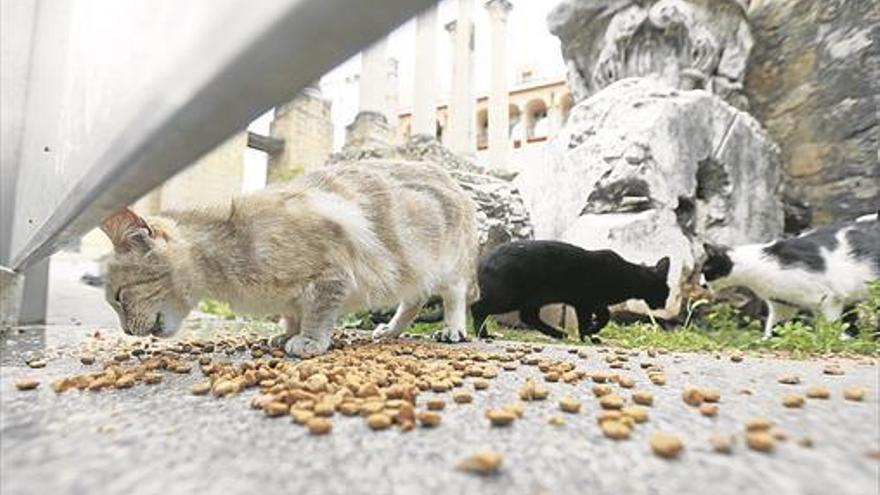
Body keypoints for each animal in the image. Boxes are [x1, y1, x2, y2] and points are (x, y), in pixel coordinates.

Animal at [103, 161, 482, 358]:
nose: (126, 331)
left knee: (453, 297)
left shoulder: (330, 276)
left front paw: (308, 341)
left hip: (444, 267)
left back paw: (452, 330)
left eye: (119, 297)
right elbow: (292, 314)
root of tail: (455, 181)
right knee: (414, 300)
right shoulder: (291, 296)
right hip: (410, 274)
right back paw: (390, 330)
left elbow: (317, 315)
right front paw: (286, 335)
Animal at [470, 242, 672, 342]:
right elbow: (591, 320)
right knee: (477, 308)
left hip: (533, 299)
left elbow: (604, 316)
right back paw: (483, 334)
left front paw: (590, 334)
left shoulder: (593, 303)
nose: (663, 305)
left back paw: (559, 334)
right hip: (508, 297)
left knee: (528, 317)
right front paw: (588, 334)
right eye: (666, 293)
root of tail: (482, 260)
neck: (628, 275)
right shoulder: (584, 302)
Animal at [700, 211, 880, 340]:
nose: (701, 284)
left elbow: (831, 323)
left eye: (705, 270)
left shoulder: (830, 299)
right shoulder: (783, 304)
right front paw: (766, 341)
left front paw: (829, 338)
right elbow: (774, 325)